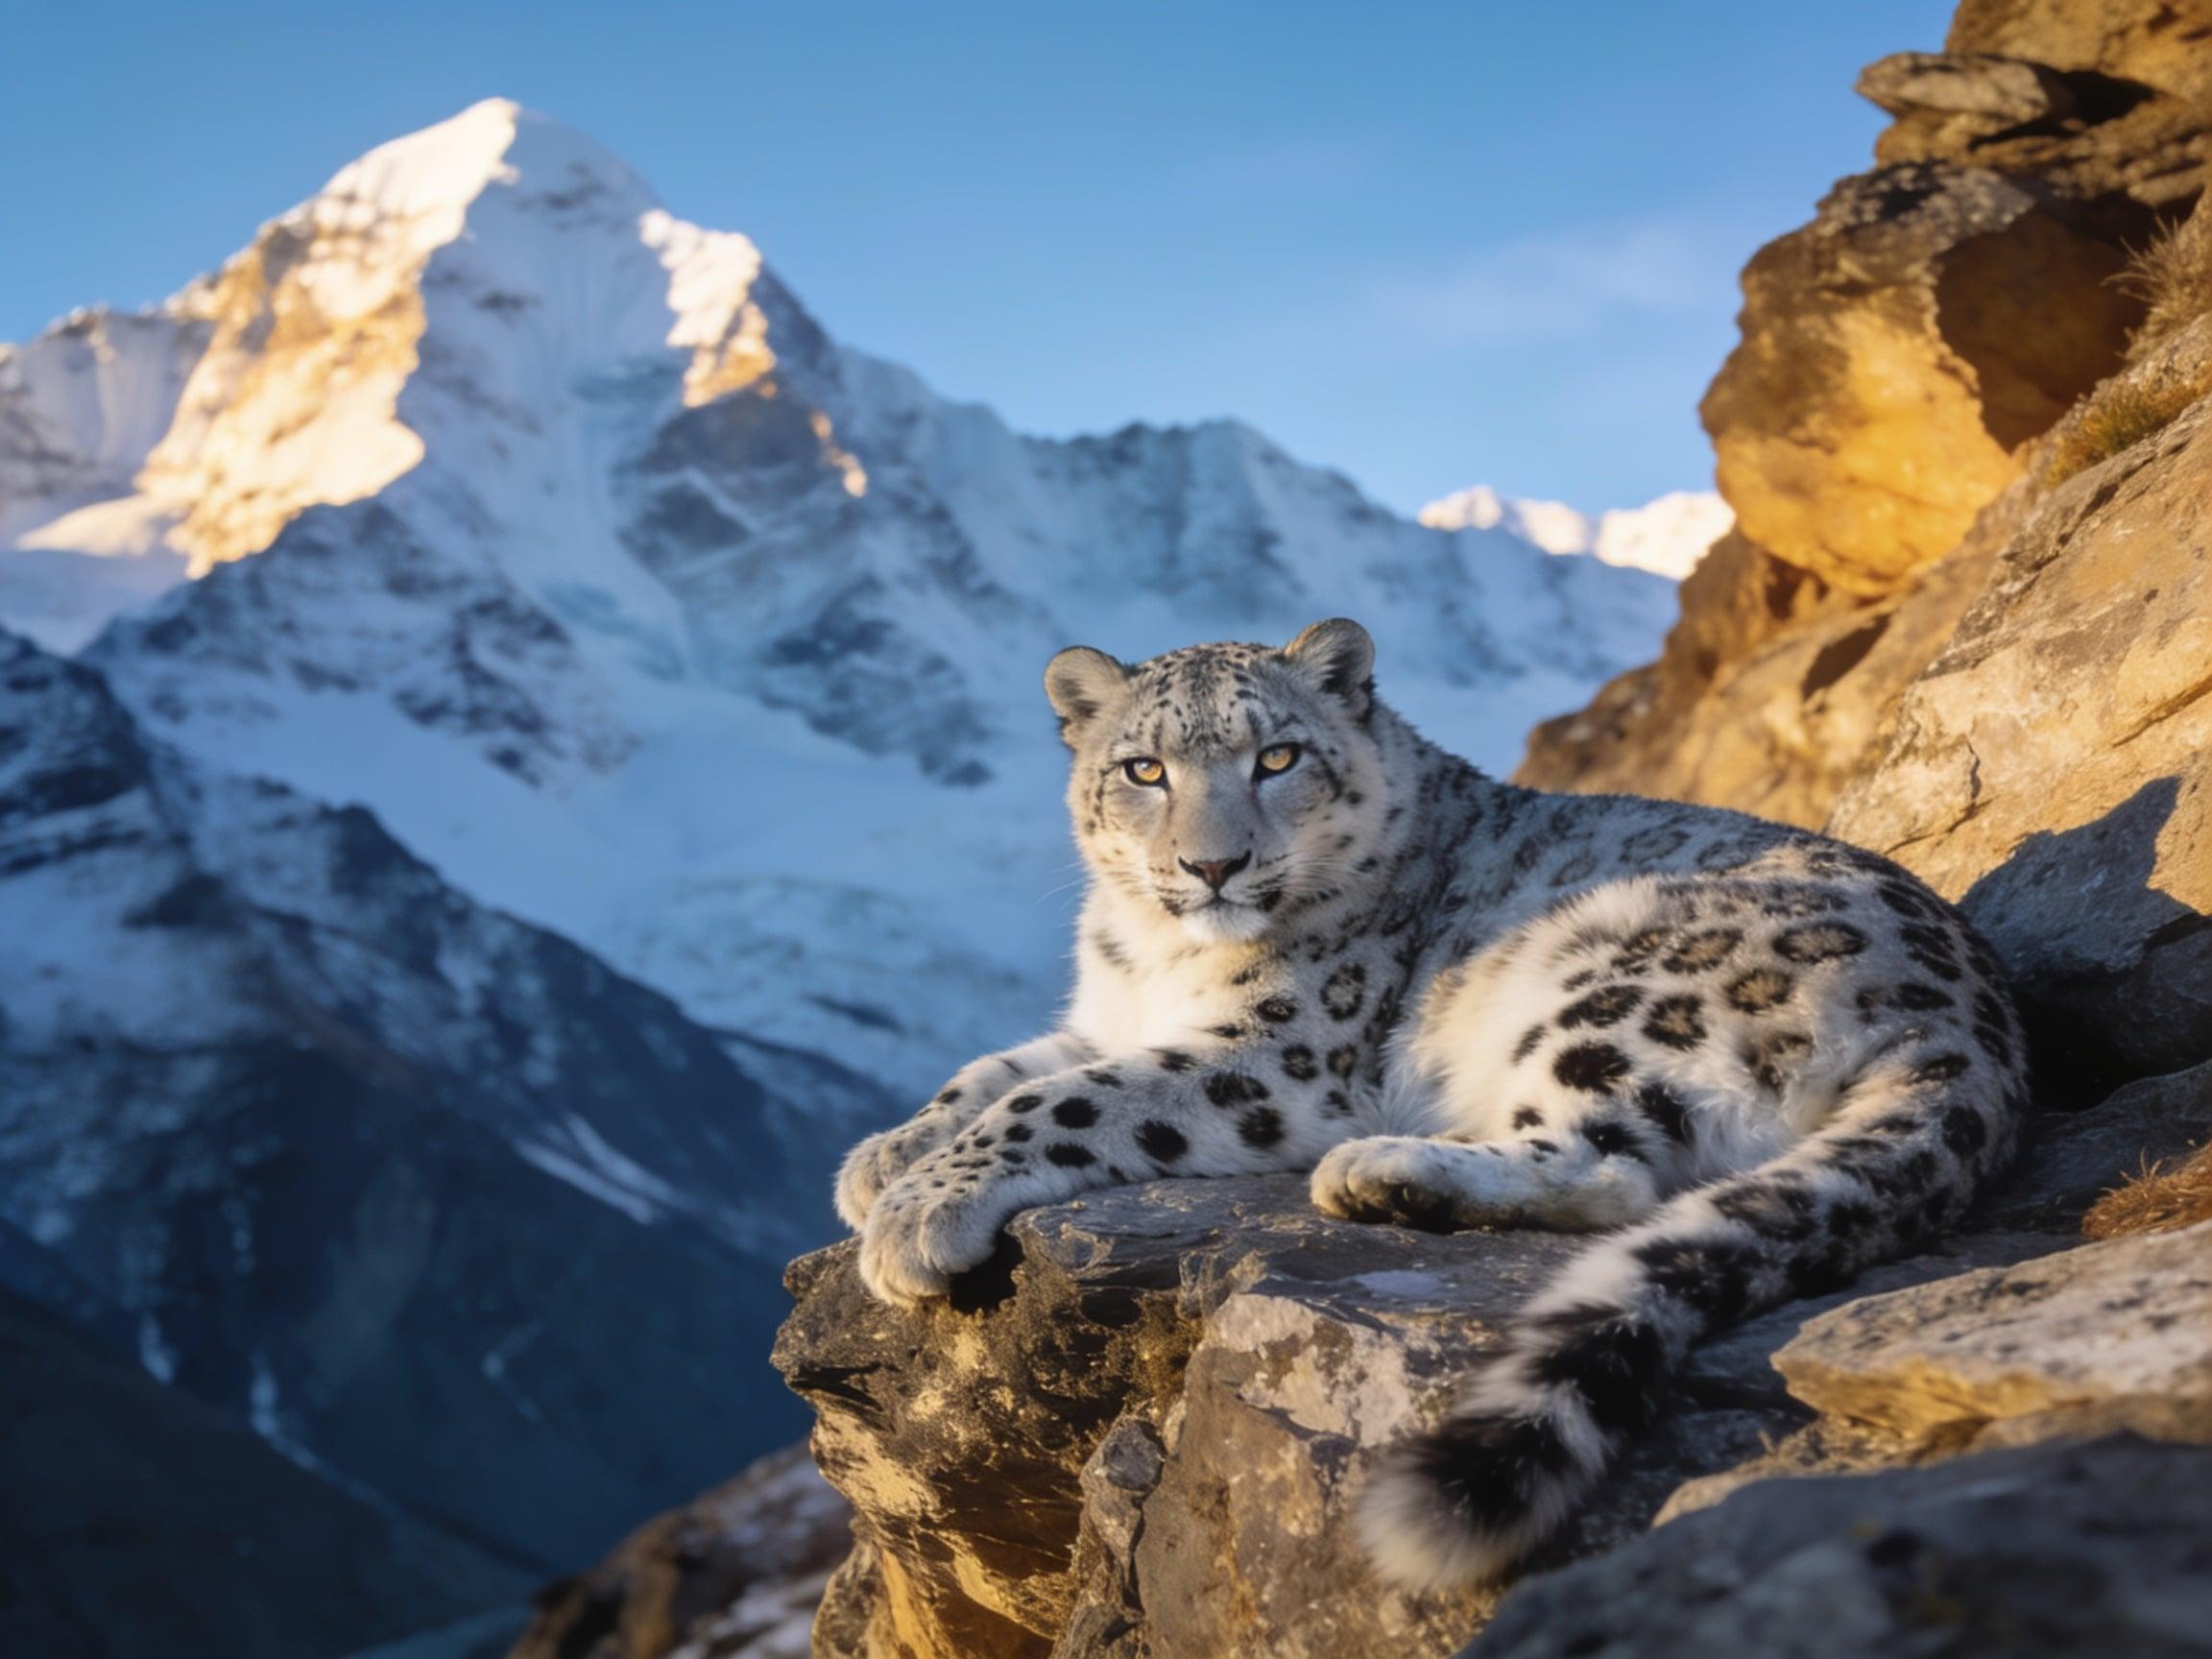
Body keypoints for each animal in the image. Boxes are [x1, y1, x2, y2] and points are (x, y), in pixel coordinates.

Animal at [832, 618, 2028, 1589]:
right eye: (1142, 768)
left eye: (1278, 756)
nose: (1214, 867)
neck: (1157, 958)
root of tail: (1979, 1027)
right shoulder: (1107, 1012)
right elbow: (995, 1071)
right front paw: (880, 1160)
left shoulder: (1281, 1054)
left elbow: (1065, 1098)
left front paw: (914, 1216)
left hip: (1611, 983)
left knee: (1612, 1170)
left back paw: (1385, 1170)